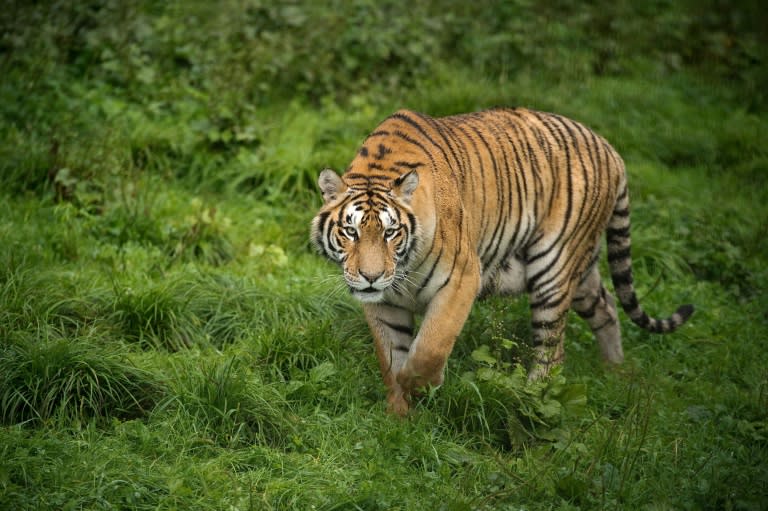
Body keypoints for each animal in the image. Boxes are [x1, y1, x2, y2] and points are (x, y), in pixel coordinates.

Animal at [308, 108, 692, 416]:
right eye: (350, 232)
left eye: (390, 233)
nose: (371, 277)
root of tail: (610, 148)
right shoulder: (384, 302)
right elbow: (391, 355)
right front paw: (399, 415)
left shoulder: (462, 278)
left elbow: (429, 346)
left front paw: (420, 386)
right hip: (582, 272)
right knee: (608, 307)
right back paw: (615, 372)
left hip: (553, 267)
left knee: (552, 352)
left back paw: (530, 397)